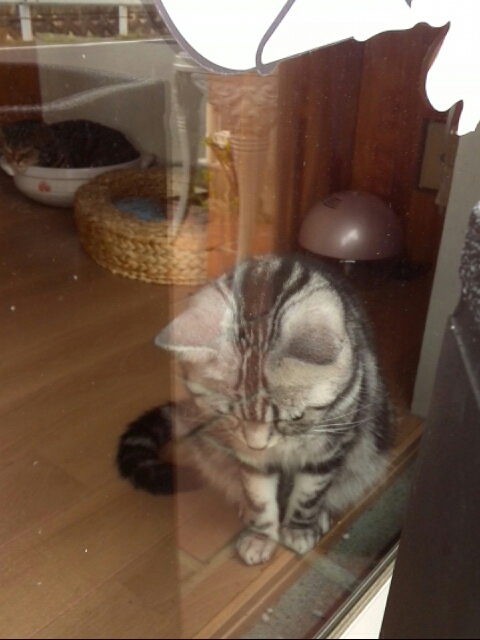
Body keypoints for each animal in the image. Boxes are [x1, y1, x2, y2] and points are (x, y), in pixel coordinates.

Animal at [117, 253, 394, 565]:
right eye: (228, 412)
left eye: (296, 416)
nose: (258, 445)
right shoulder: (248, 457)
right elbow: (259, 498)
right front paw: (260, 536)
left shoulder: (329, 448)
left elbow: (309, 495)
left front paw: (298, 529)